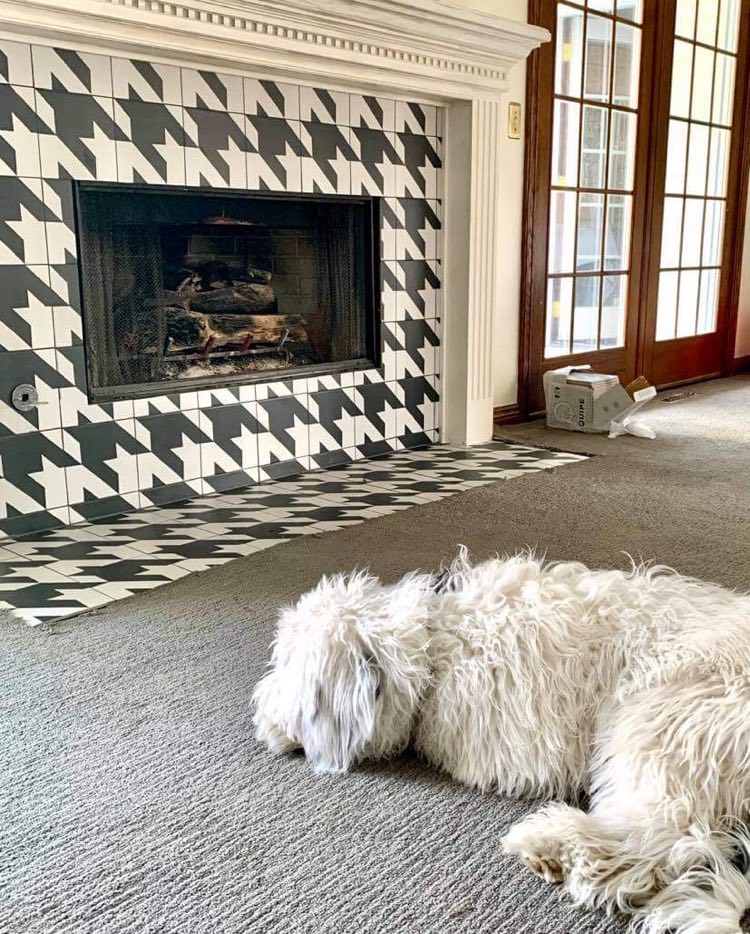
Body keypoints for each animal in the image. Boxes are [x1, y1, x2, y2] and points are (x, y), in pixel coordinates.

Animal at [253, 552, 750, 932]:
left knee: (660, 835)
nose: (255, 710)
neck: (432, 644)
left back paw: (555, 842)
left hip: (662, 720)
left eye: (282, 664)